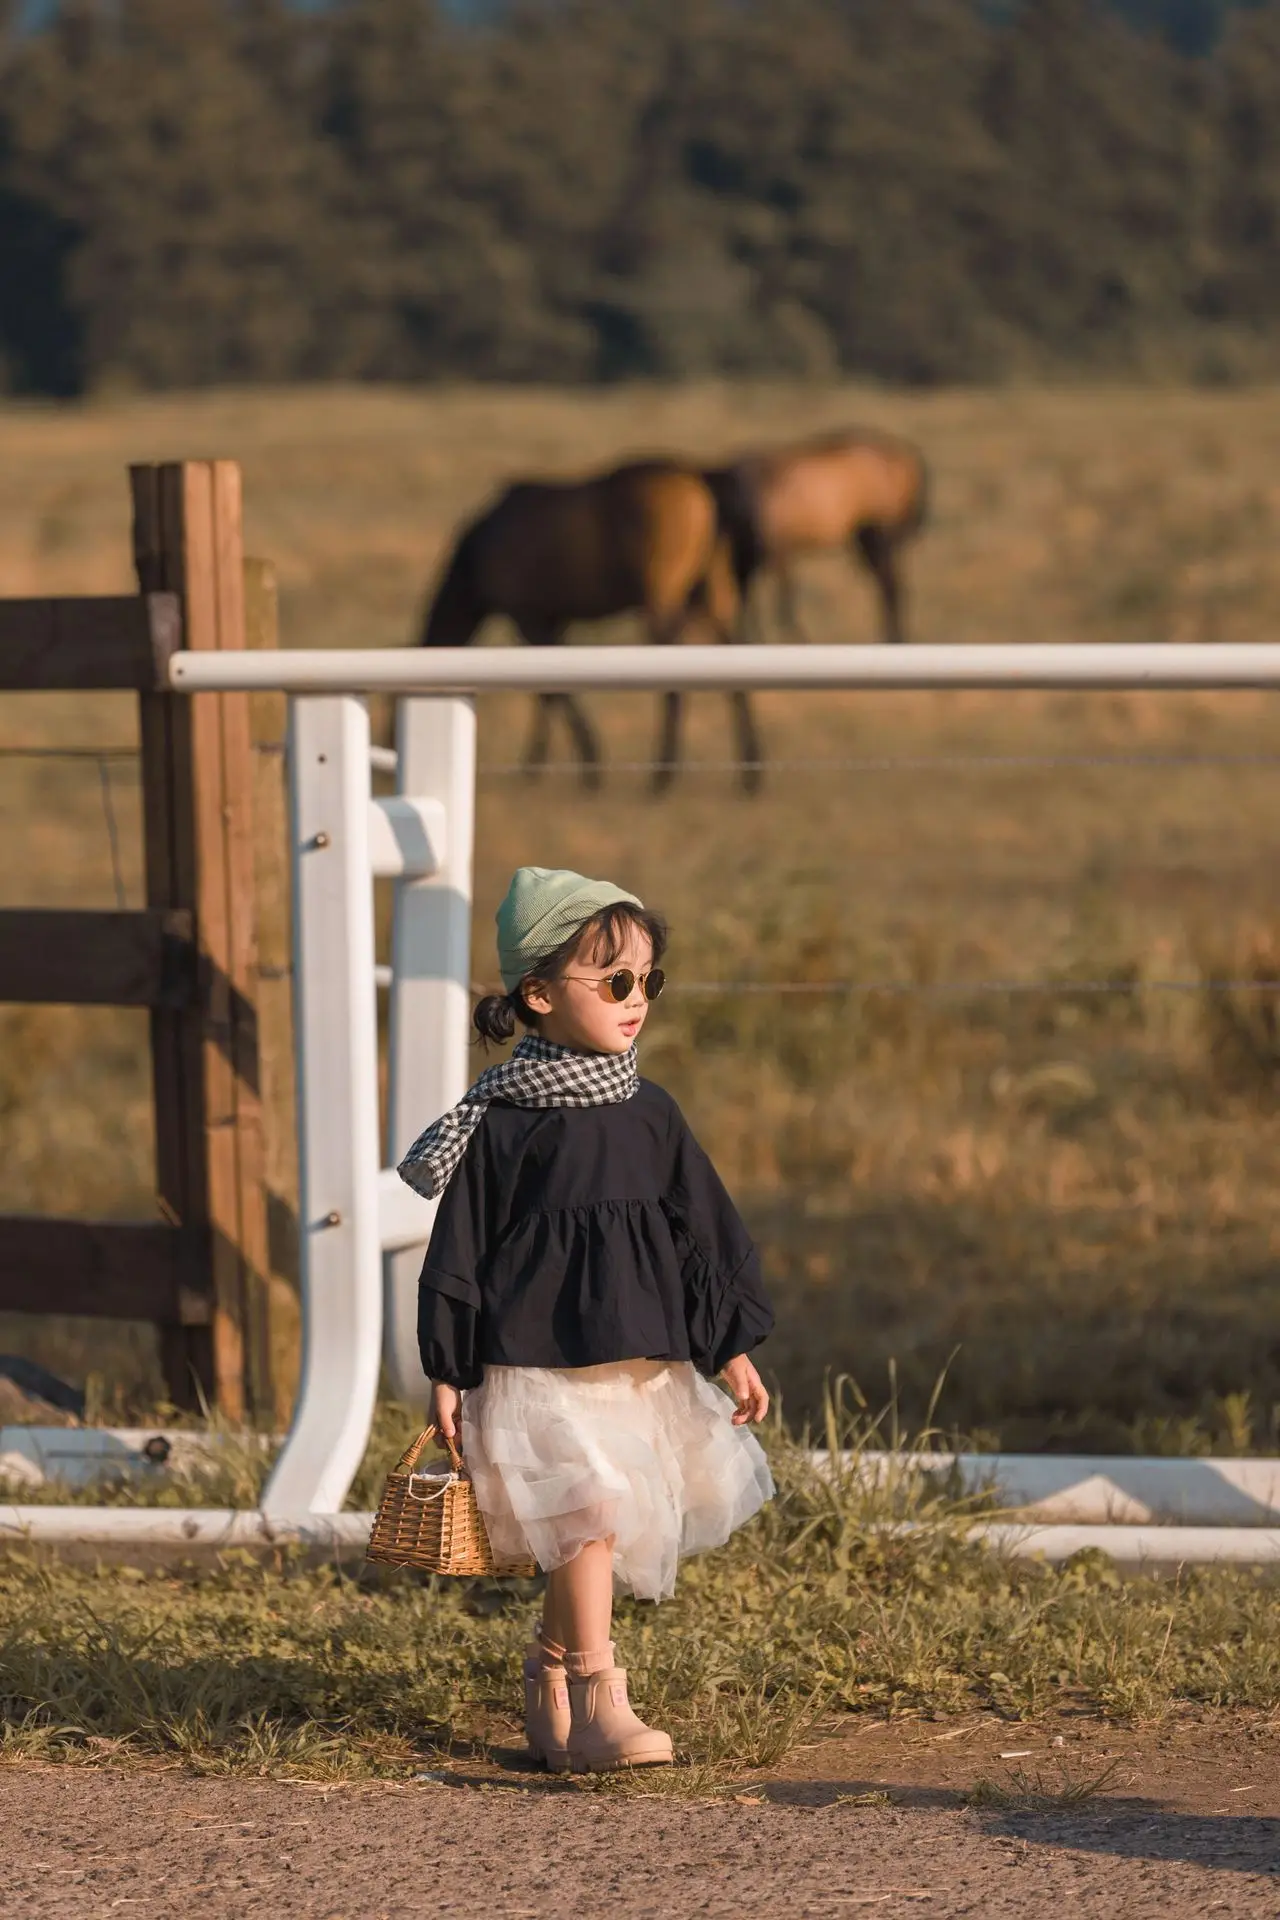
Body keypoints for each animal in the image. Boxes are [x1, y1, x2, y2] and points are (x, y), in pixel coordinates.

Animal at [420, 456, 759, 787]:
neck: (481, 551)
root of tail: (701, 486)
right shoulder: (554, 621)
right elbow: (548, 693)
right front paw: (542, 765)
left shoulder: (529, 619)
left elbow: (553, 692)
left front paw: (581, 767)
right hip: (713, 598)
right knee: (734, 668)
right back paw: (749, 774)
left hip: (662, 606)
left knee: (674, 688)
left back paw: (662, 776)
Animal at [710, 428, 932, 645]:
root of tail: (912, 458)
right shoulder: (759, 560)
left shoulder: (777, 554)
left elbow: (782, 609)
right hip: (866, 543)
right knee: (888, 588)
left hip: (878, 540)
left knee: (893, 588)